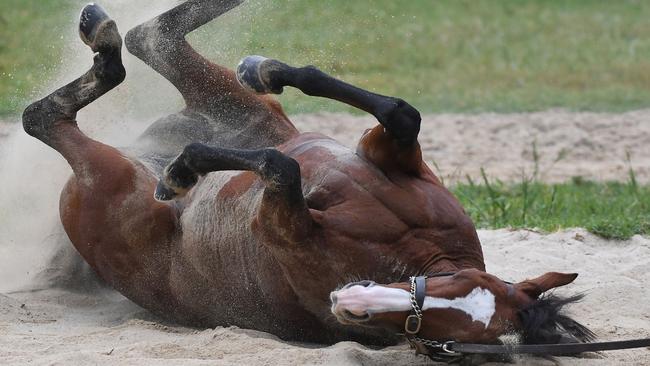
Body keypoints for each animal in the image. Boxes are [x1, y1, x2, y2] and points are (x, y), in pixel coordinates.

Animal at [22, 0, 584, 346]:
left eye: (436, 334)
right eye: (460, 284)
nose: (353, 300)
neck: (410, 248)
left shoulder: (279, 222)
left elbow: (281, 166)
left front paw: (187, 166)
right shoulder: (392, 154)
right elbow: (399, 113)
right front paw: (269, 70)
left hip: (108, 178)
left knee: (49, 115)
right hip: (240, 108)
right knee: (149, 39)